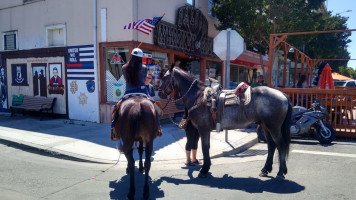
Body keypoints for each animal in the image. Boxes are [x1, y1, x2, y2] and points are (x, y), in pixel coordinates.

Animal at [159, 66, 292, 180]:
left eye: (164, 77)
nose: (159, 92)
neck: (199, 96)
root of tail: (283, 95)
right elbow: (205, 147)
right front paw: (205, 168)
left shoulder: (203, 129)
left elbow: (205, 147)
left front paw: (204, 170)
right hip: (265, 126)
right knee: (271, 146)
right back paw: (265, 170)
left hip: (274, 127)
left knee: (280, 145)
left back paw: (280, 173)